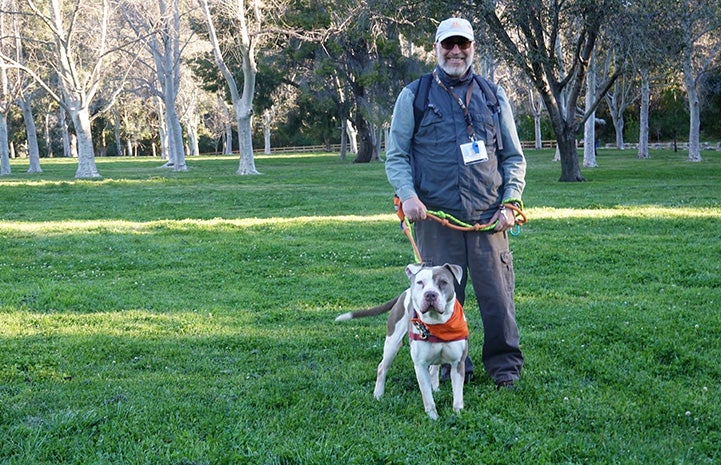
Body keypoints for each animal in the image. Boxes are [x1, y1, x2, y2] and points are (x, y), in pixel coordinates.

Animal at [336, 262, 470, 418]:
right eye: (420, 282)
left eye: (443, 282)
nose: (430, 294)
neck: (438, 323)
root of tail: (405, 292)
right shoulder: (420, 365)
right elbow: (427, 397)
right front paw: (433, 417)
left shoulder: (458, 363)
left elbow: (458, 396)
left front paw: (458, 414)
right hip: (392, 343)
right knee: (382, 367)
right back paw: (378, 395)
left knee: (434, 368)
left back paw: (436, 388)